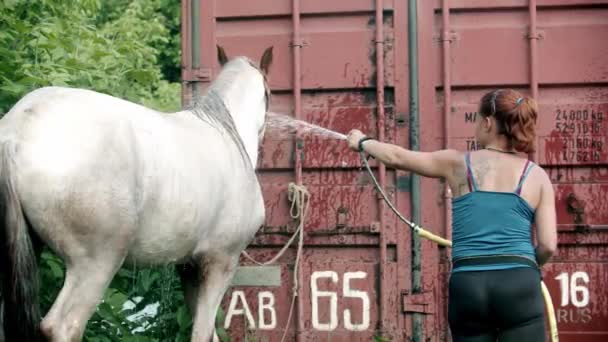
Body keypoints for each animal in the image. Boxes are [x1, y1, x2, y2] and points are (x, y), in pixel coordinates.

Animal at [0, 46, 272, 342]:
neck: (226, 134)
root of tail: (16, 130)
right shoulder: (221, 262)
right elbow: (202, 332)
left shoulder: (189, 269)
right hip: (97, 263)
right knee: (63, 325)